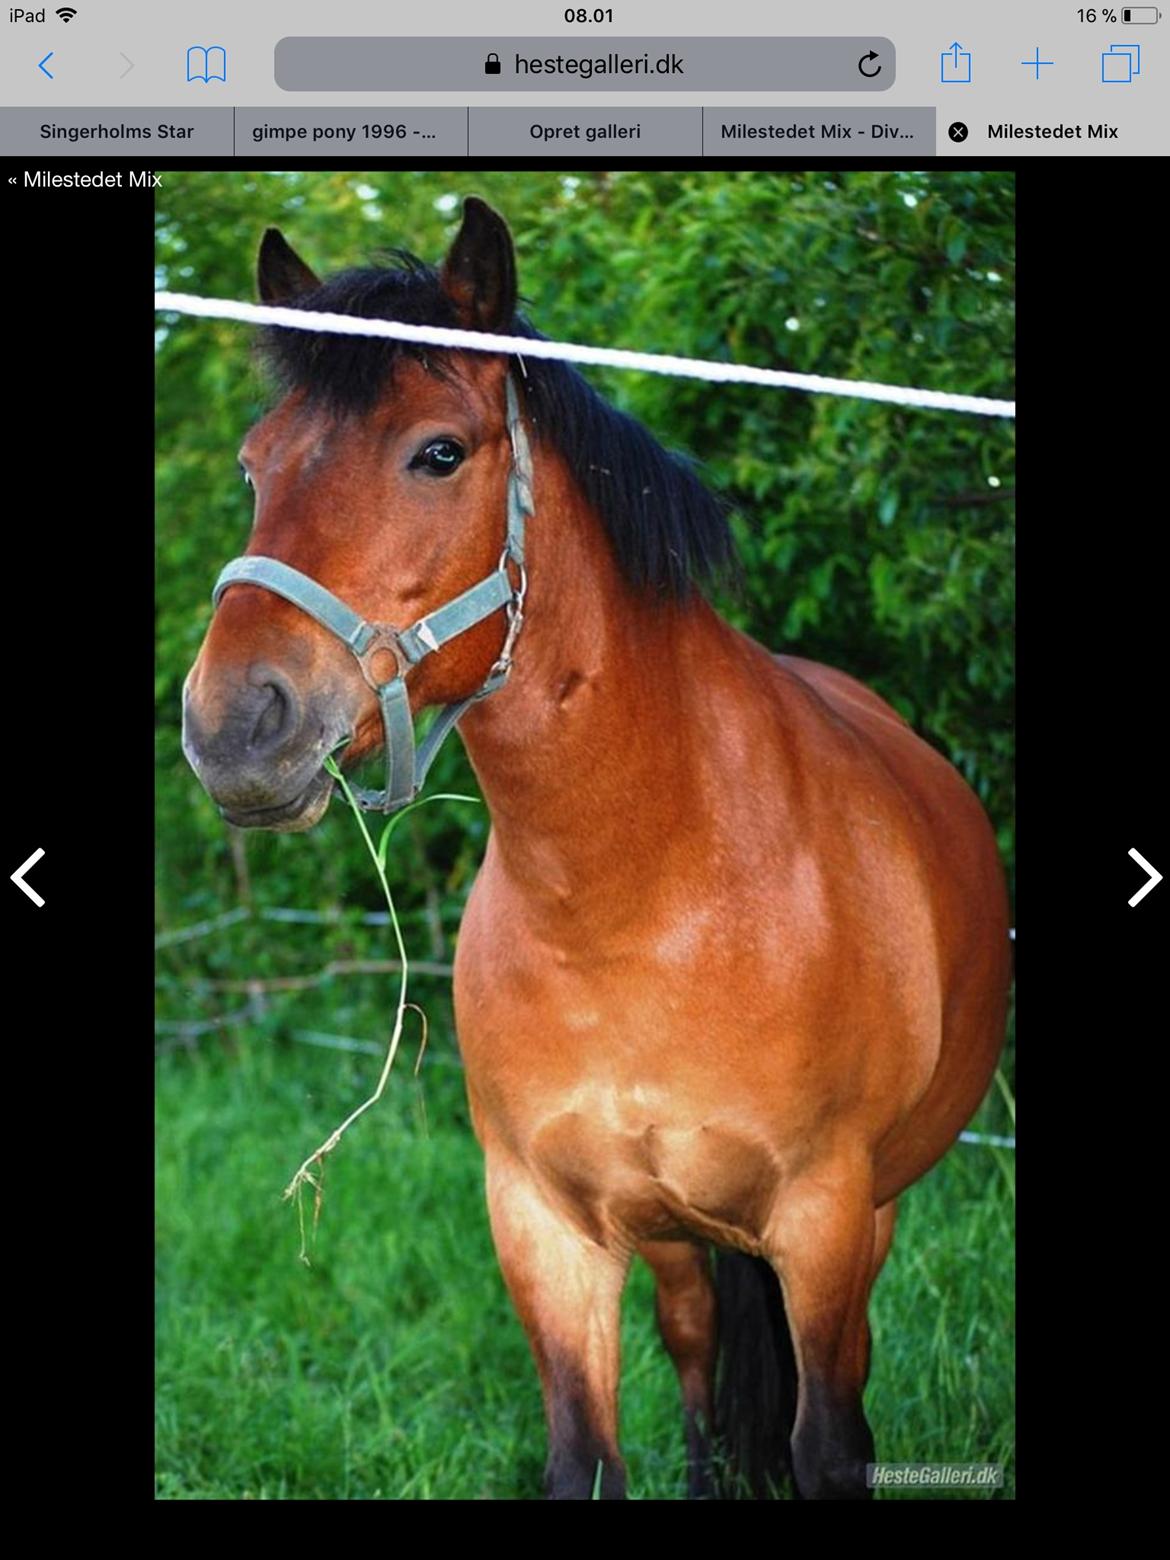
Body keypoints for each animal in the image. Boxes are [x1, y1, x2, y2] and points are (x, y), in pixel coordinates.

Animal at [178, 195, 1010, 1497]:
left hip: (862, 1223)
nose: (234, 727)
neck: (646, 899)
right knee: (697, 1352)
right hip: (668, 1239)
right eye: (256, 462)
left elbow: (829, 1444)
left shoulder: (824, 1222)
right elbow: (590, 1452)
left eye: (439, 453)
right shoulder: (546, 1228)